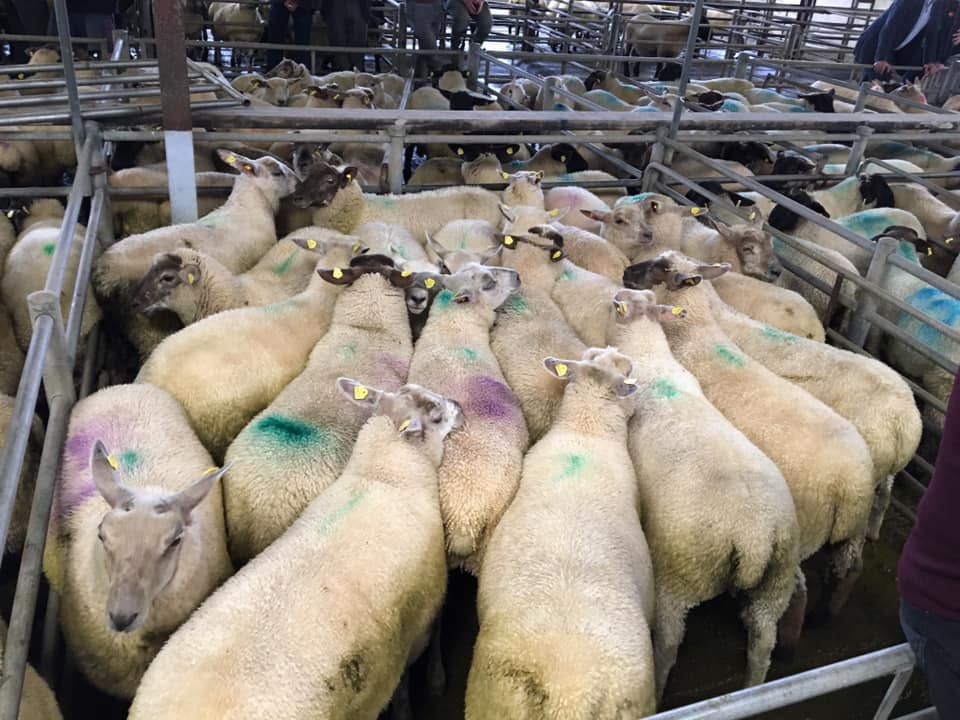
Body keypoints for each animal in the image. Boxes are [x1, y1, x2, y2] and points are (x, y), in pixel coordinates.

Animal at [128, 380, 463, 720]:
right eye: (435, 414)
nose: (459, 407)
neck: (382, 477)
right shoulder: (419, 619)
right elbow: (414, 669)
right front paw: (429, 686)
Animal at [606, 288, 799, 696]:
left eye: (618, 303)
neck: (650, 354)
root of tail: (755, 536)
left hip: (680, 573)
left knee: (668, 645)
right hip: (777, 580)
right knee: (763, 641)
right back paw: (751, 687)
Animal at [624, 253, 878, 629]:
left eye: (661, 268)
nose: (627, 271)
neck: (695, 331)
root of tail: (851, 483)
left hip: (806, 525)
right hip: (852, 527)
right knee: (847, 569)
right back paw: (826, 614)